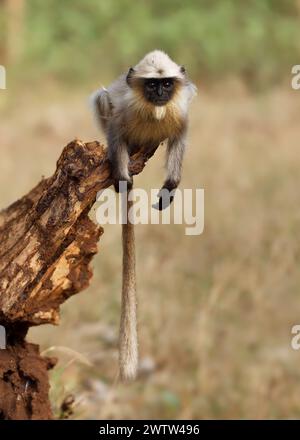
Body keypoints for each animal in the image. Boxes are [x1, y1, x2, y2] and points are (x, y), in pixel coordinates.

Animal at [90, 50, 196, 382]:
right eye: (151, 85)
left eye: (166, 83)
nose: (160, 93)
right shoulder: (122, 114)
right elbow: (116, 132)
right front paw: (123, 181)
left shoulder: (180, 114)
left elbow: (179, 138)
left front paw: (169, 189)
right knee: (103, 98)